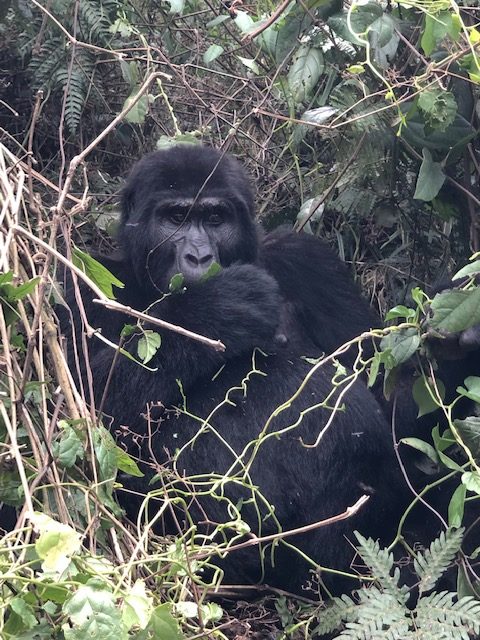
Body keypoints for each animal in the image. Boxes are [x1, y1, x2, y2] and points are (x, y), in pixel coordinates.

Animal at [59, 146, 420, 596]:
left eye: (216, 218)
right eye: (175, 217)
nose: (198, 257)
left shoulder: (309, 260)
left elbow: (391, 401)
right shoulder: (82, 279)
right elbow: (92, 417)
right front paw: (221, 307)